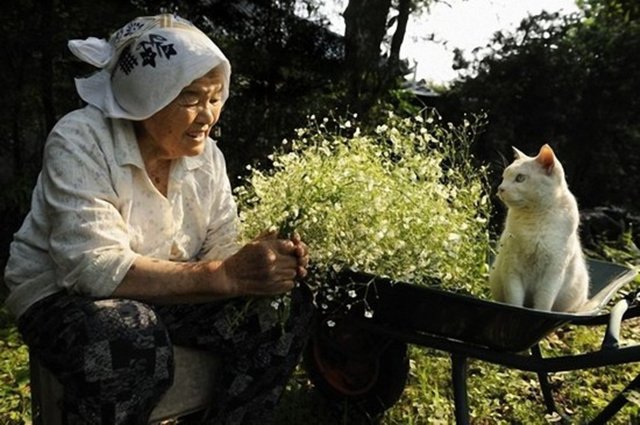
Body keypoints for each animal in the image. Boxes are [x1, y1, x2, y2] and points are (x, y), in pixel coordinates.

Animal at [490, 144, 592, 310]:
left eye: (520, 178)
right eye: (504, 177)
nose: (500, 188)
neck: (535, 217)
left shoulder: (553, 274)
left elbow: (543, 304)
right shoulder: (512, 270)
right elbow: (514, 301)